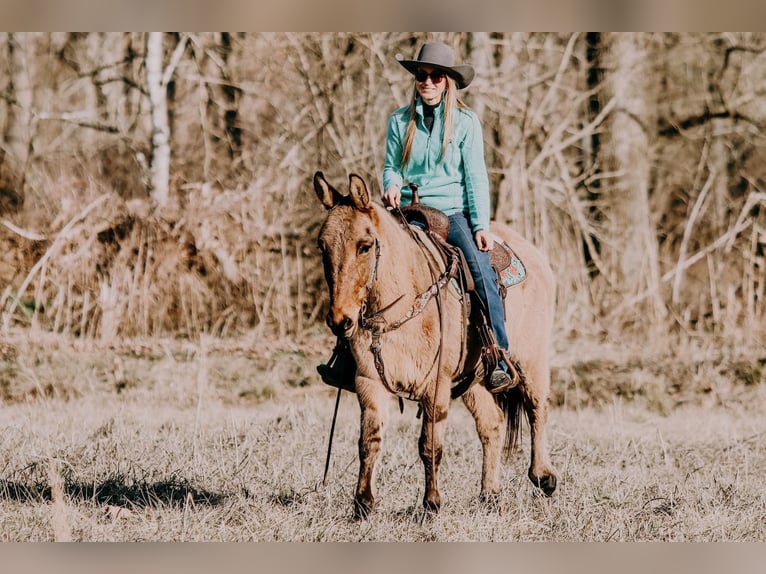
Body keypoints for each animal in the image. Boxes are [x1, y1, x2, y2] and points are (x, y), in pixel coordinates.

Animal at [312, 172, 560, 520]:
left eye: (364, 246)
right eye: (322, 246)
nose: (340, 320)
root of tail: (535, 256)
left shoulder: (436, 385)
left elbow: (429, 445)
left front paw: (431, 503)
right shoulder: (368, 382)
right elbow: (369, 440)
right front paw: (362, 504)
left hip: (531, 360)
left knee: (537, 410)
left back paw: (544, 477)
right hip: (473, 381)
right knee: (492, 425)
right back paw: (490, 495)